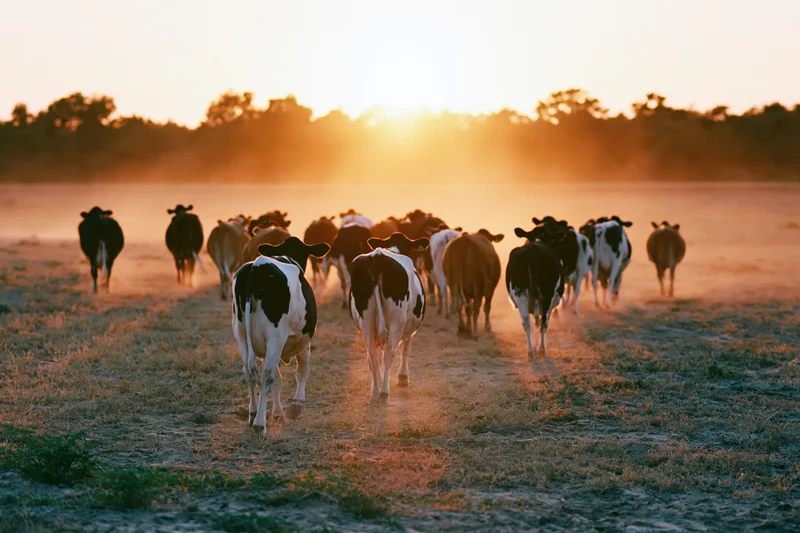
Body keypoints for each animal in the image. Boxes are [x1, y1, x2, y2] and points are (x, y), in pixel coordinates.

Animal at [232, 237, 330, 437]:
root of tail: (258, 265)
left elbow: (278, 380)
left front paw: (277, 413)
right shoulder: (303, 341)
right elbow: (301, 372)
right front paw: (296, 405)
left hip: (241, 334)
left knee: (249, 372)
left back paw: (253, 413)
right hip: (275, 337)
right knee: (266, 377)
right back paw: (260, 424)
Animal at [349, 233, 429, 403]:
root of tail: (378, 256)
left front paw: (378, 382)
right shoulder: (409, 327)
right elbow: (405, 348)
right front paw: (403, 377)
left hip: (366, 322)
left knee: (373, 355)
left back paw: (375, 392)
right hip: (396, 322)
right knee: (388, 354)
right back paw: (384, 392)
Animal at [507, 223, 567, 357]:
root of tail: (532, 249)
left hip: (520, 295)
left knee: (526, 323)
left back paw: (530, 351)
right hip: (547, 295)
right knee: (543, 322)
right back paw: (541, 349)